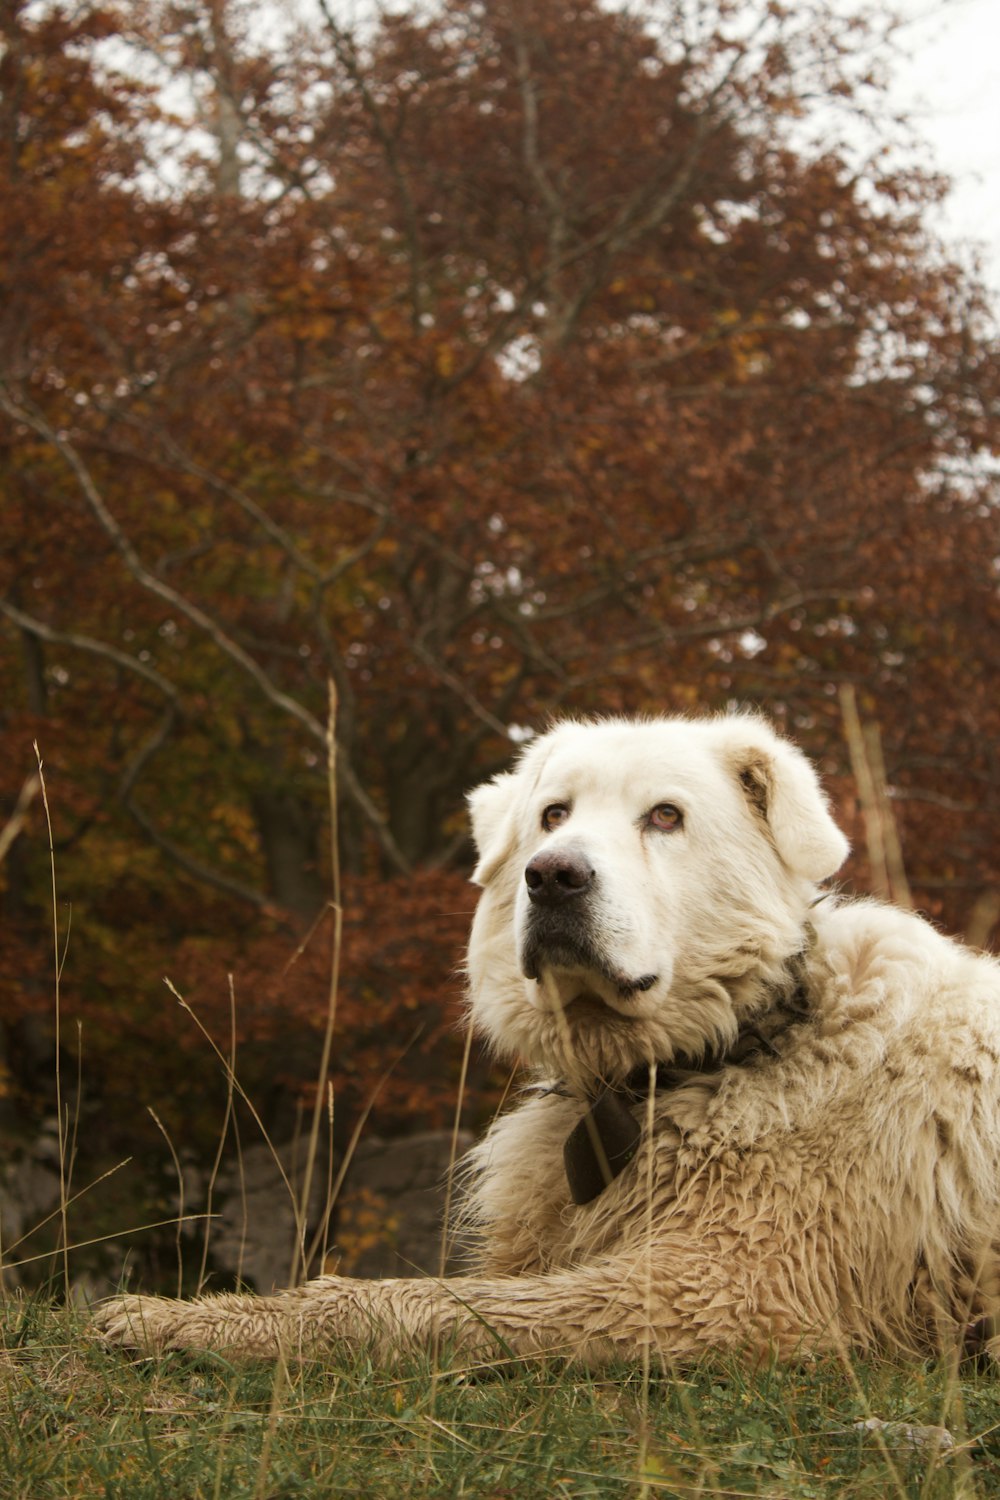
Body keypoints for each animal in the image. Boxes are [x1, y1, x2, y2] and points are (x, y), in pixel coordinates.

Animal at [97, 708, 1000, 1368]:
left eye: (665, 816)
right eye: (552, 815)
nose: (554, 875)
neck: (727, 1046)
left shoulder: (724, 1287)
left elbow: (423, 1302)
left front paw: (196, 1322)